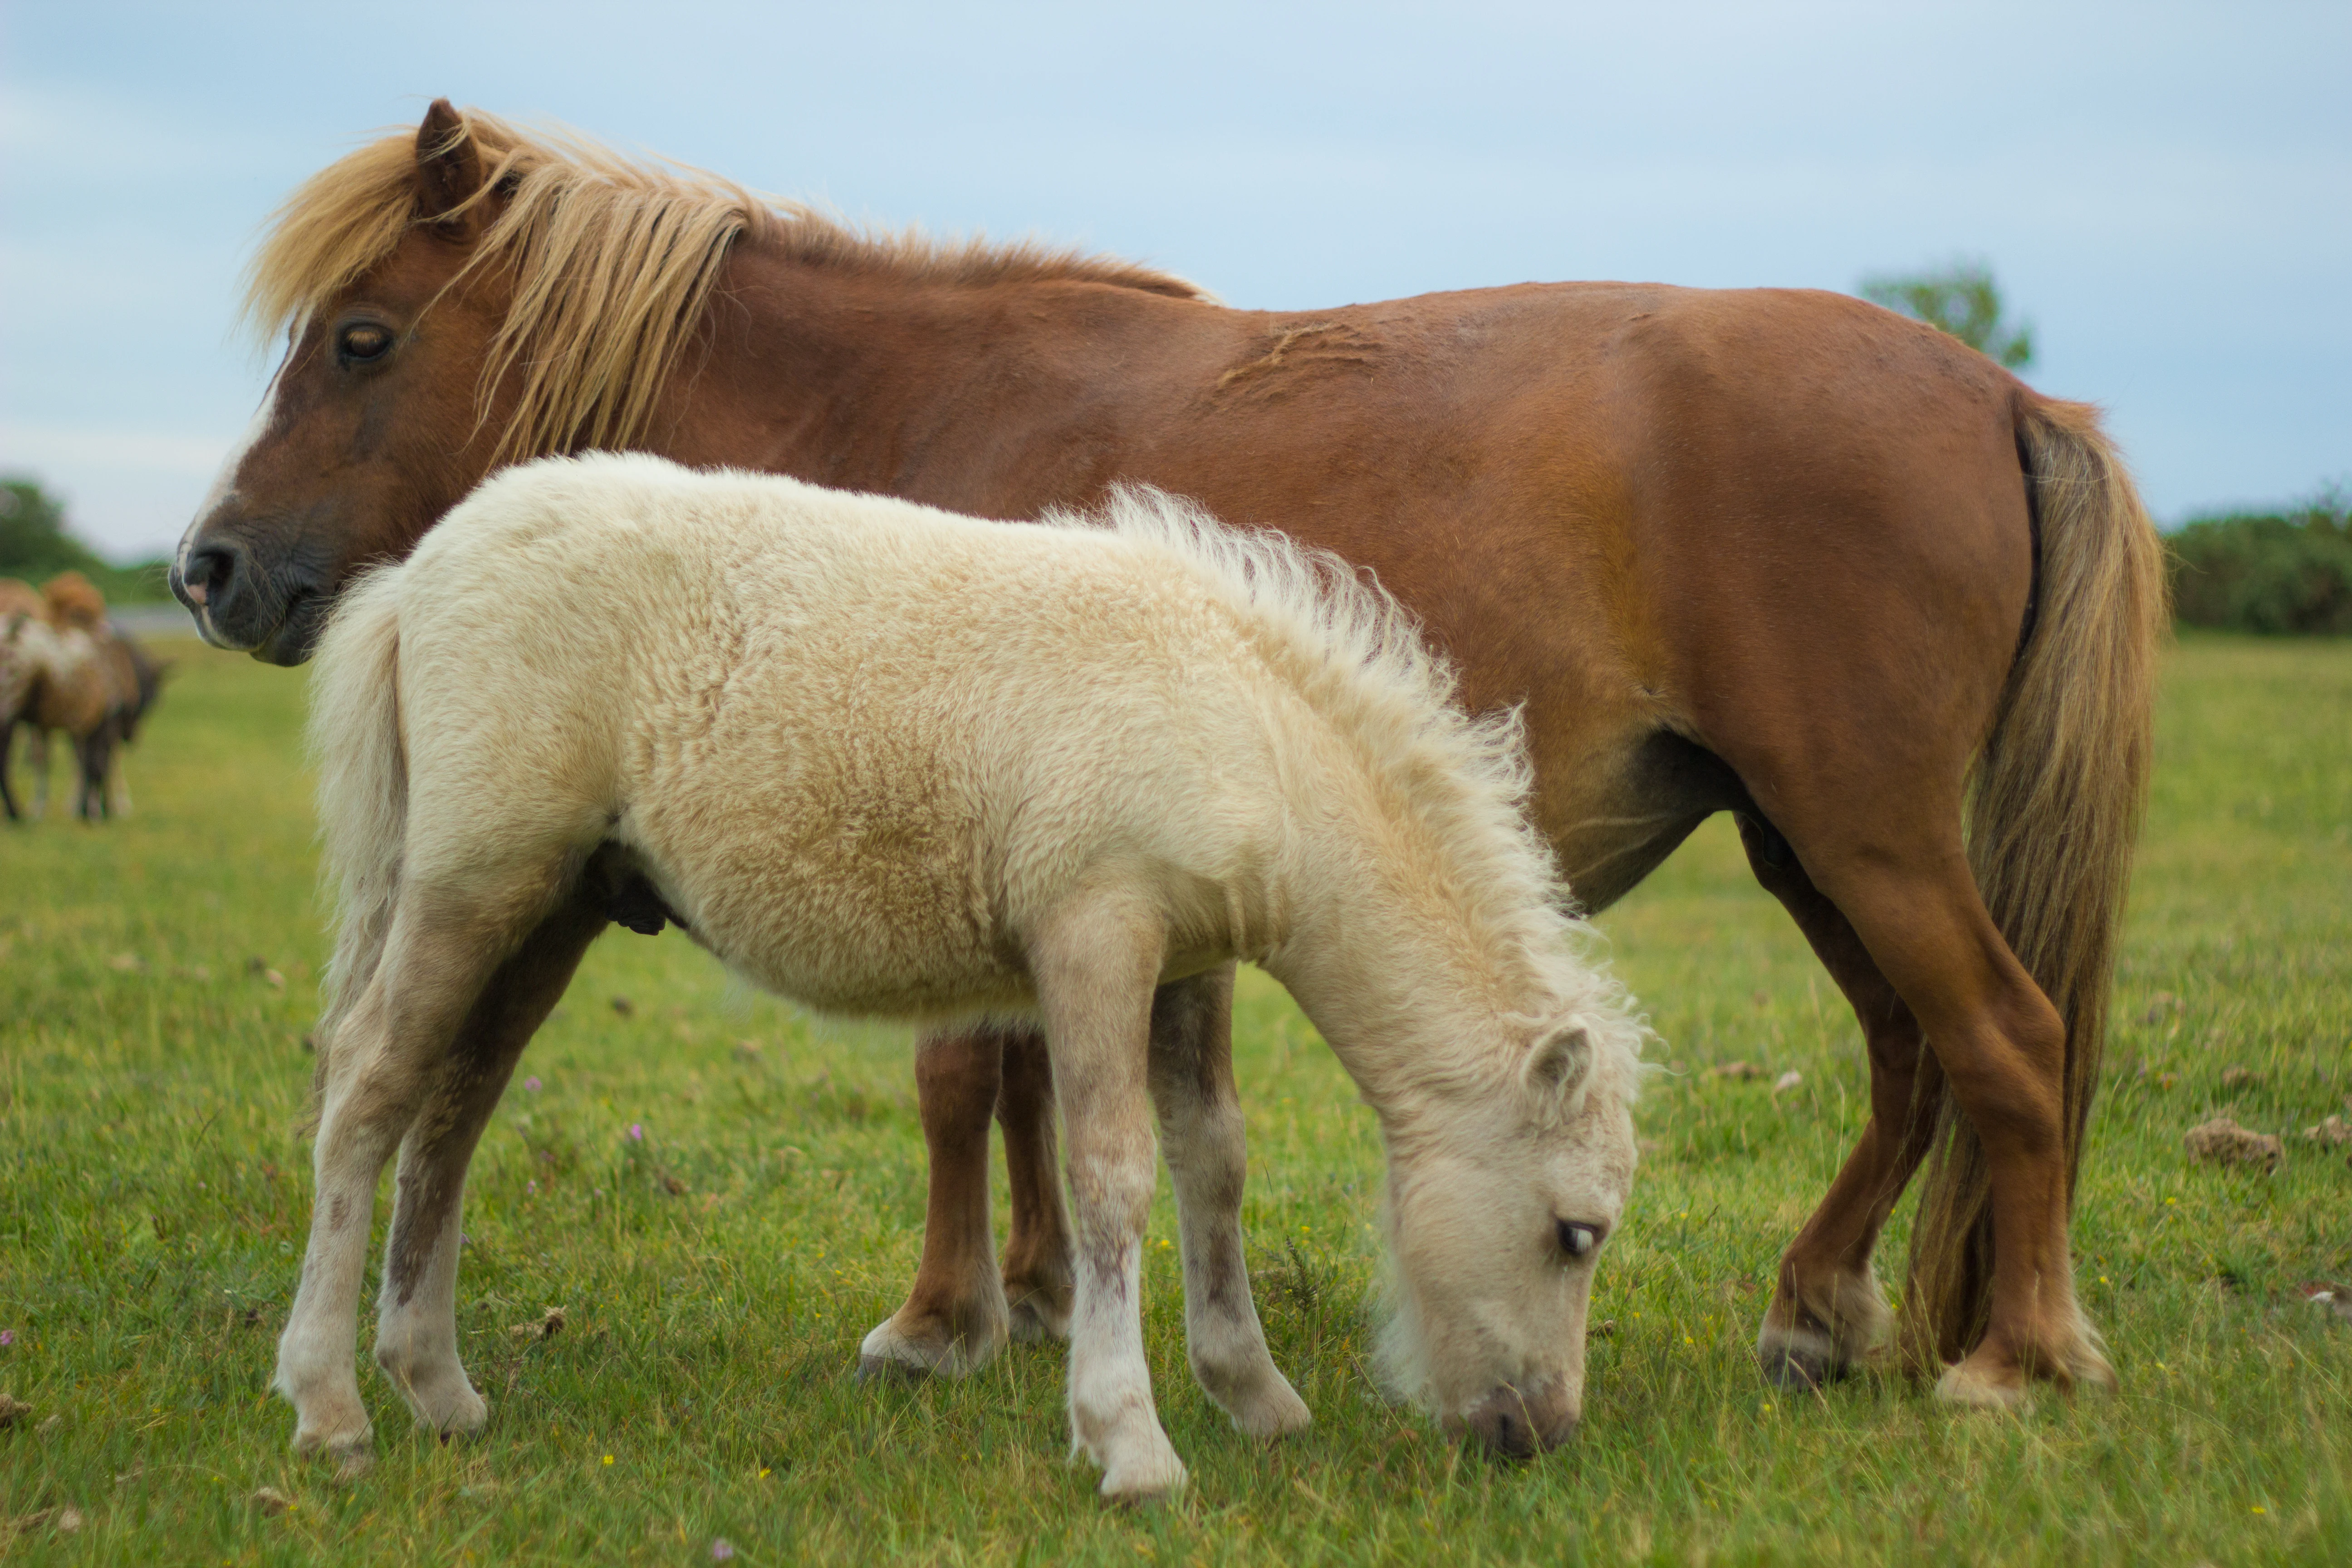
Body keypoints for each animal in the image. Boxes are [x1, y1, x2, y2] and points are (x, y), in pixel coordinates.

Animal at [293, 453, 1645, 1497]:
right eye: (1573, 1232)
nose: (1540, 1433)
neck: (1242, 722)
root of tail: (416, 573)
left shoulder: (1188, 962)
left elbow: (1212, 1157)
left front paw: (1255, 1395)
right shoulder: (1095, 930)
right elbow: (1114, 1173)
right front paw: (1130, 1442)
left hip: (558, 908)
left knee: (454, 1105)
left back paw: (437, 1387)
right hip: (473, 885)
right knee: (369, 1089)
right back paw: (330, 1409)